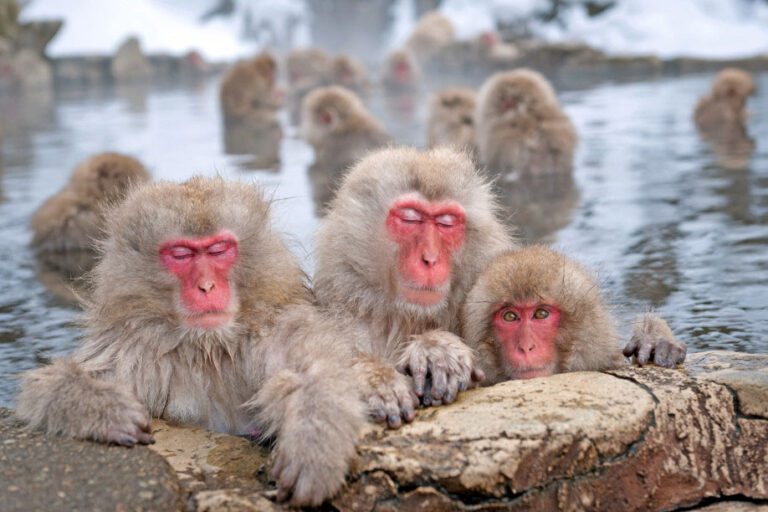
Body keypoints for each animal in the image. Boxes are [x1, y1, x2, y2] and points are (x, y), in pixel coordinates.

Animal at [17, 177, 366, 507]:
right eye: (181, 254)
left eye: (219, 249)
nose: (206, 286)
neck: (208, 346)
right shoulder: (132, 349)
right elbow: (45, 387)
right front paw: (107, 410)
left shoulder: (276, 330)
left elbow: (318, 371)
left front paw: (313, 447)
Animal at [306, 146, 514, 428]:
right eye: (410, 219)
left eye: (446, 222)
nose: (430, 259)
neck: (406, 317)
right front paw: (375, 379)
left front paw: (436, 349)